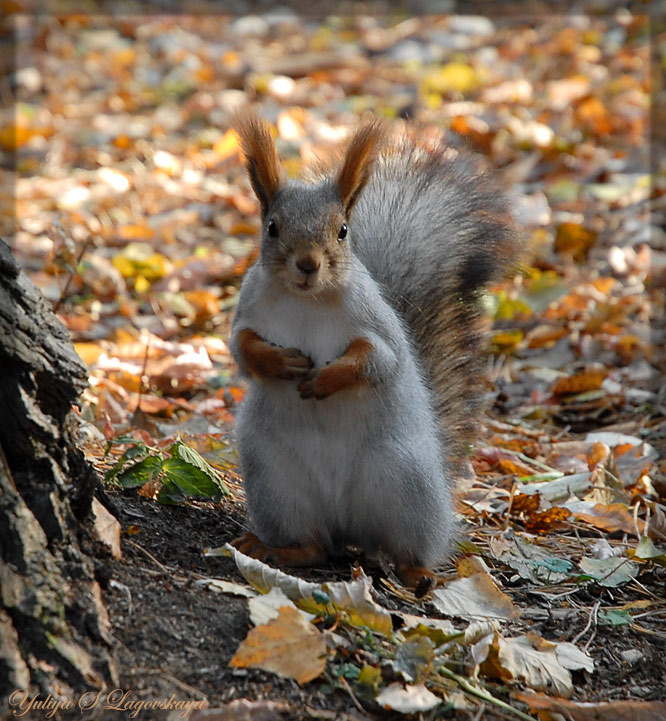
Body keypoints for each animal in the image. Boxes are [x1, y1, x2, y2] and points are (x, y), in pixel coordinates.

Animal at [228, 113, 520, 592]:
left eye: (343, 231)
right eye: (272, 227)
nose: (307, 264)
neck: (308, 300)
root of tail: (347, 526)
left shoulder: (378, 325)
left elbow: (379, 361)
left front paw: (326, 379)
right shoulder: (246, 311)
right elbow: (241, 348)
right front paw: (280, 362)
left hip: (404, 483)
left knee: (404, 549)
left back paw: (418, 572)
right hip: (276, 481)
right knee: (315, 545)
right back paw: (277, 548)